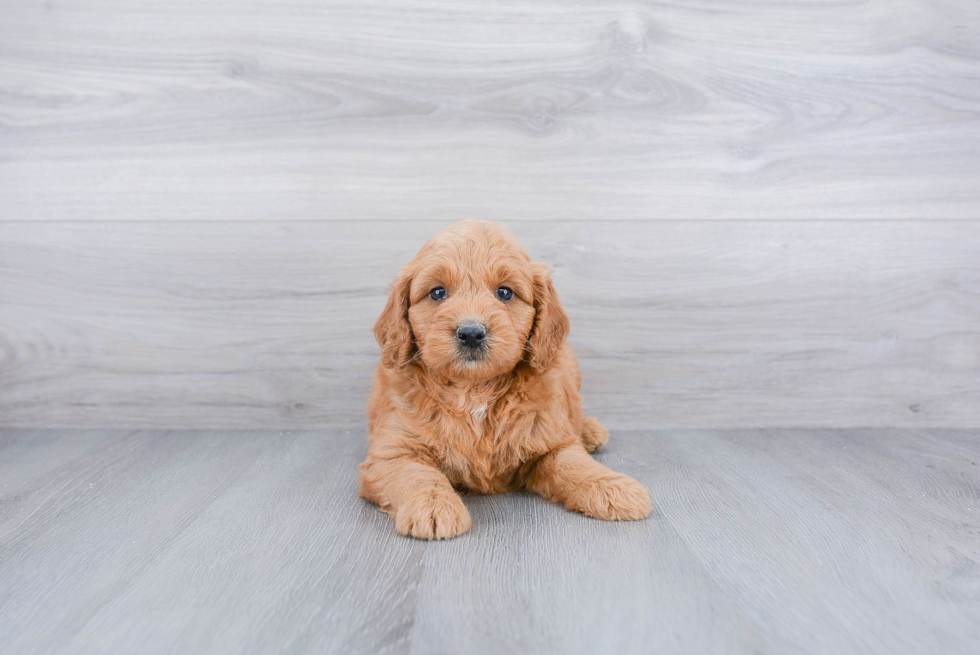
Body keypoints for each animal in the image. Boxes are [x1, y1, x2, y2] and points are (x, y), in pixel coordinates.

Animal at [358, 220, 652, 540]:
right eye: (437, 293)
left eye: (505, 292)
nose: (471, 333)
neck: (474, 390)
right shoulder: (392, 454)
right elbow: (417, 474)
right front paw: (434, 506)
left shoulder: (550, 442)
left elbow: (574, 464)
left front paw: (613, 487)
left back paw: (590, 431)